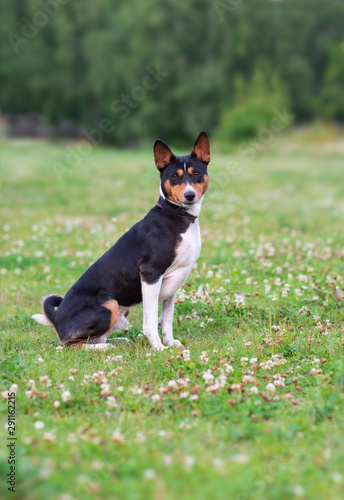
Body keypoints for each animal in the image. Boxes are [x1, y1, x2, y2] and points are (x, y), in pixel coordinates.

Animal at [33, 131, 210, 350]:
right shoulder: (151, 274)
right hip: (109, 304)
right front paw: (159, 348)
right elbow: (151, 321)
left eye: (197, 174)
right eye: (174, 176)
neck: (177, 215)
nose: (189, 195)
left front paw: (170, 343)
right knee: (71, 344)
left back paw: (118, 341)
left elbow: (166, 318)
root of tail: (57, 320)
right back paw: (106, 347)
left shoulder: (174, 281)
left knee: (94, 338)